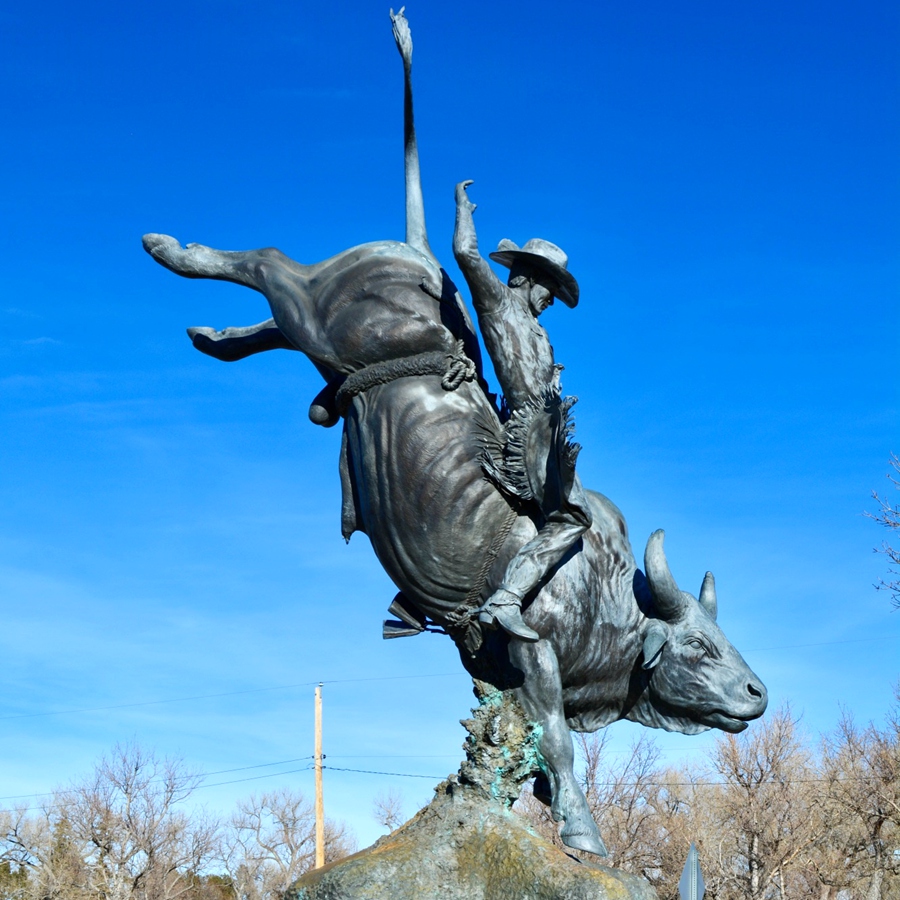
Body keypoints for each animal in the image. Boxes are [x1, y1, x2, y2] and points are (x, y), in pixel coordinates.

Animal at [142, 10, 768, 860]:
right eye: (701, 647)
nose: (758, 692)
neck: (607, 599)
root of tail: (414, 255)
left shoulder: (494, 667)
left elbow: (527, 748)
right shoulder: (534, 648)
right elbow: (559, 741)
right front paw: (583, 832)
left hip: (328, 344)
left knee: (277, 320)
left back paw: (215, 336)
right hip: (325, 310)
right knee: (271, 263)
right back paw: (172, 250)